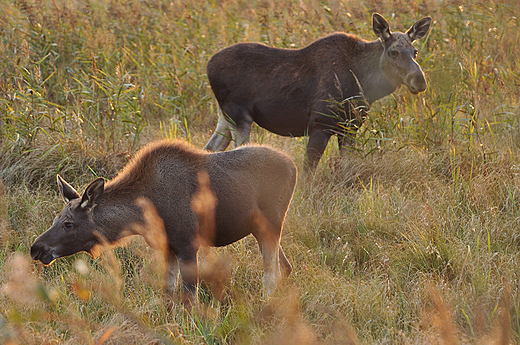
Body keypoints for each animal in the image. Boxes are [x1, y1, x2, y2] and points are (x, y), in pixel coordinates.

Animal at [30, 140, 296, 306]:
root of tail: (293, 166)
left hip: (271, 224)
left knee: (271, 274)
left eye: (68, 224)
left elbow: (189, 298)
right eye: (56, 218)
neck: (140, 215)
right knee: (285, 266)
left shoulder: (188, 244)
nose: (36, 248)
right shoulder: (169, 248)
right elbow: (168, 293)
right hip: (261, 229)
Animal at [205, 13, 432, 169]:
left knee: (209, 148)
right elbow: (308, 172)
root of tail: (208, 67)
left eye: (415, 51)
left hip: (225, 117)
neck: (366, 86)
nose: (420, 81)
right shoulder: (320, 124)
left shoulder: (350, 128)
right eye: (393, 52)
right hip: (238, 116)